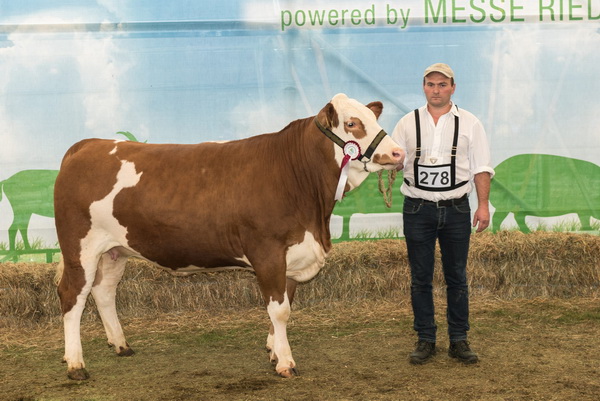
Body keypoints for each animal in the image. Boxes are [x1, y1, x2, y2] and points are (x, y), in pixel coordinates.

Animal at [55, 93, 404, 378]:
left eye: (374, 119)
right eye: (352, 123)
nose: (398, 152)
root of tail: (87, 145)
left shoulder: (293, 254)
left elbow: (285, 303)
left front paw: (273, 349)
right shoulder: (268, 252)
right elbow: (280, 309)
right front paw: (285, 362)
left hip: (115, 250)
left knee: (103, 291)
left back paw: (121, 345)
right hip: (80, 248)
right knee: (73, 295)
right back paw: (75, 364)